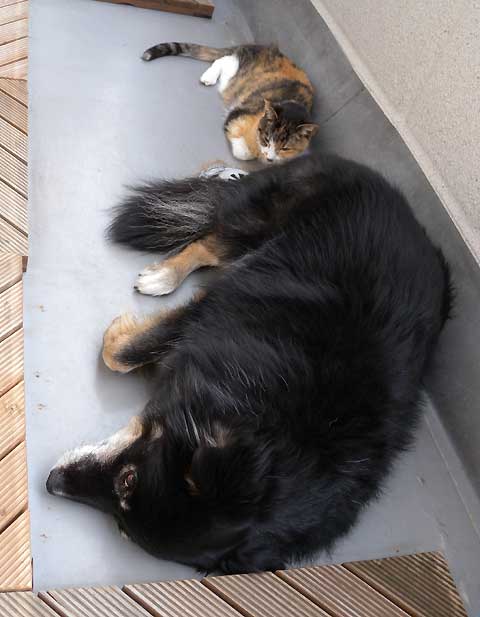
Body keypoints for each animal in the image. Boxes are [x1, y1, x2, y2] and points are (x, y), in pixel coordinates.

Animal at [46, 154, 452, 574]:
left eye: (125, 493)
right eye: (129, 481)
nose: (50, 482)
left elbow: (123, 354)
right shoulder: (216, 309)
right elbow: (121, 354)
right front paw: (122, 329)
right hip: (261, 217)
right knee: (210, 242)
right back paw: (163, 276)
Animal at [142, 43, 319, 163]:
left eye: (285, 148)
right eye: (267, 139)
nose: (269, 158)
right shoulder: (238, 113)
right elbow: (242, 152)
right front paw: (244, 149)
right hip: (234, 75)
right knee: (224, 59)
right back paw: (209, 77)